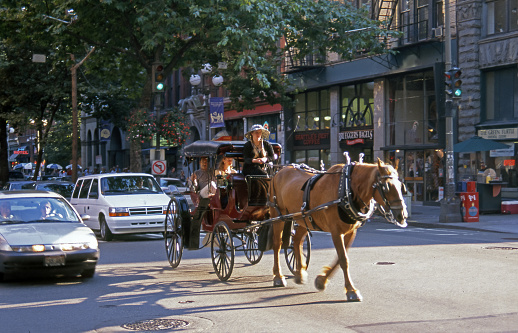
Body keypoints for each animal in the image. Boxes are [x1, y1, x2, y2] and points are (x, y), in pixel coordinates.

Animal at [268, 158, 410, 300]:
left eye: (401, 185)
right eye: (386, 187)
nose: (402, 215)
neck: (346, 189)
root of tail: (280, 171)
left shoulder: (350, 231)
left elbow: (340, 258)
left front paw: (321, 280)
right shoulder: (336, 232)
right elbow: (343, 260)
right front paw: (351, 290)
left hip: (305, 219)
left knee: (297, 241)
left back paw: (299, 273)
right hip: (278, 216)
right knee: (277, 244)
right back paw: (278, 277)